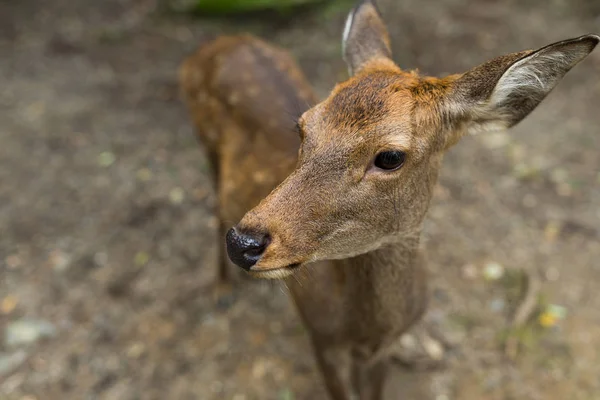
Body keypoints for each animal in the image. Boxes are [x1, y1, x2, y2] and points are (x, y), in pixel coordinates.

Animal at [178, 0, 596, 396]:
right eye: (303, 127)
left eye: (390, 156)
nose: (243, 243)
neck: (367, 329)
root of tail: (217, 42)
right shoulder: (320, 338)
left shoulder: (381, 351)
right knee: (215, 206)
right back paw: (220, 290)